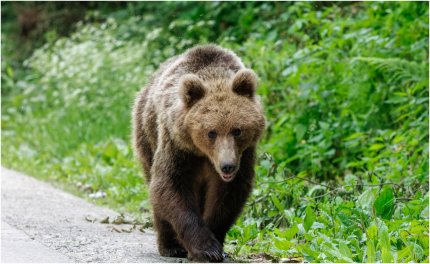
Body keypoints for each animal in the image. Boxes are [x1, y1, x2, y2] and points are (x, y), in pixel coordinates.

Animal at [132, 43, 266, 262]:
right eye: (211, 132)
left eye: (237, 130)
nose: (227, 166)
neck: (204, 155)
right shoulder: (177, 147)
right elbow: (169, 185)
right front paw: (206, 248)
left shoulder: (244, 155)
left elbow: (227, 196)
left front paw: (216, 244)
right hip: (146, 133)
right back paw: (170, 246)